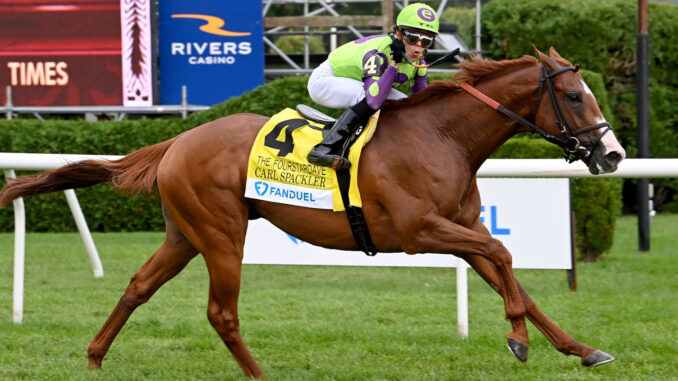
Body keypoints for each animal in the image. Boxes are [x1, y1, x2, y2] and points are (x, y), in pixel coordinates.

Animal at [1, 48, 628, 378]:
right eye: (575, 96)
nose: (614, 154)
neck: (443, 136)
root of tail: (178, 139)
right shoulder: (421, 230)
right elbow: (502, 255)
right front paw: (518, 336)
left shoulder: (462, 227)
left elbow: (511, 274)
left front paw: (578, 348)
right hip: (221, 233)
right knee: (221, 313)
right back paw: (258, 374)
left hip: (184, 234)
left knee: (137, 286)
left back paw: (94, 356)